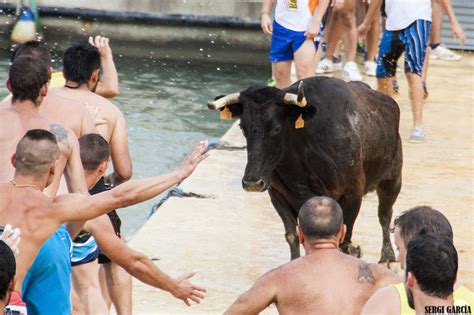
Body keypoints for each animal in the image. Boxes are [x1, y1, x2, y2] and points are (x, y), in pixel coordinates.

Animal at [209, 78, 402, 262]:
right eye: (243, 128)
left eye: (276, 129)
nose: (252, 182)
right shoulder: (278, 195)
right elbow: (292, 235)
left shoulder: (352, 194)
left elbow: (344, 239)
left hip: (392, 179)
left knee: (384, 215)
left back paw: (387, 255)